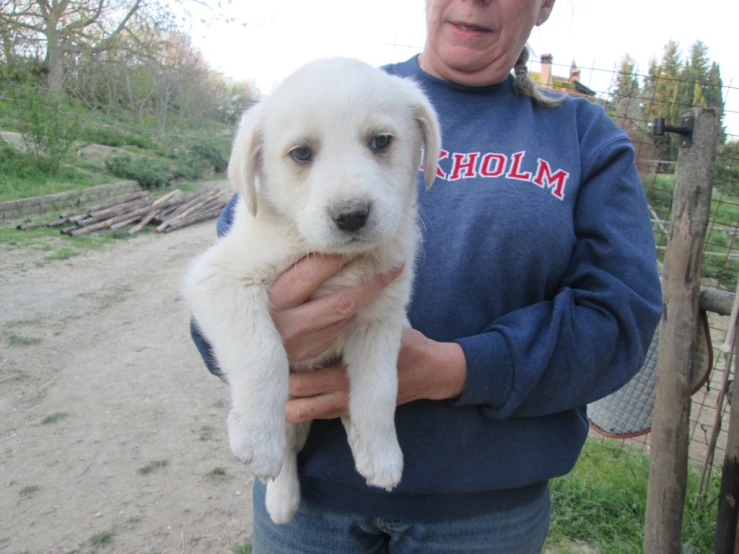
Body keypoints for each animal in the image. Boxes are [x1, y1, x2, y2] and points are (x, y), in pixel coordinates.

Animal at [184, 56, 440, 520]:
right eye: (301, 153)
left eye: (381, 141)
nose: (351, 215)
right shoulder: (218, 279)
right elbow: (263, 351)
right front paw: (256, 438)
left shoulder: (381, 320)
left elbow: (380, 390)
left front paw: (382, 455)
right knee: (287, 451)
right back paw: (278, 494)